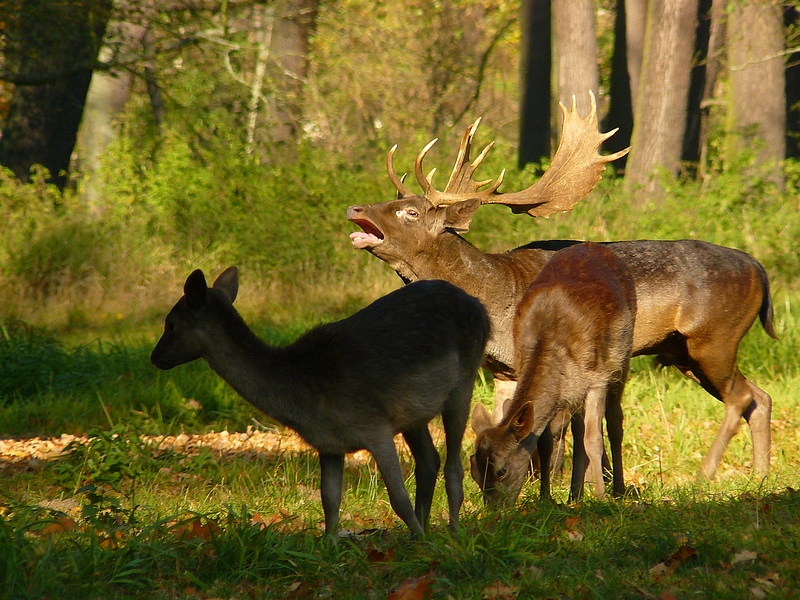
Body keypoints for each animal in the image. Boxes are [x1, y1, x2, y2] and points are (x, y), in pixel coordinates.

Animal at [150, 267, 490, 537]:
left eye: (171, 323)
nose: (155, 357)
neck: (304, 396)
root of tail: (481, 308)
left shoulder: (375, 427)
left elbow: (397, 497)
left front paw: (421, 541)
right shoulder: (328, 444)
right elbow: (329, 500)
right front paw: (329, 546)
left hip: (464, 380)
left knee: (454, 464)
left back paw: (453, 532)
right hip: (412, 414)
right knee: (429, 460)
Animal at [470, 242, 636, 506]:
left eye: (501, 471)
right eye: (473, 471)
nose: (494, 510)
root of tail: (594, 246)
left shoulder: (597, 378)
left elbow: (594, 439)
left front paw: (601, 498)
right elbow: (547, 442)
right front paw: (545, 498)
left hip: (623, 352)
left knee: (614, 421)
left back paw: (618, 490)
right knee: (578, 430)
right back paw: (574, 495)